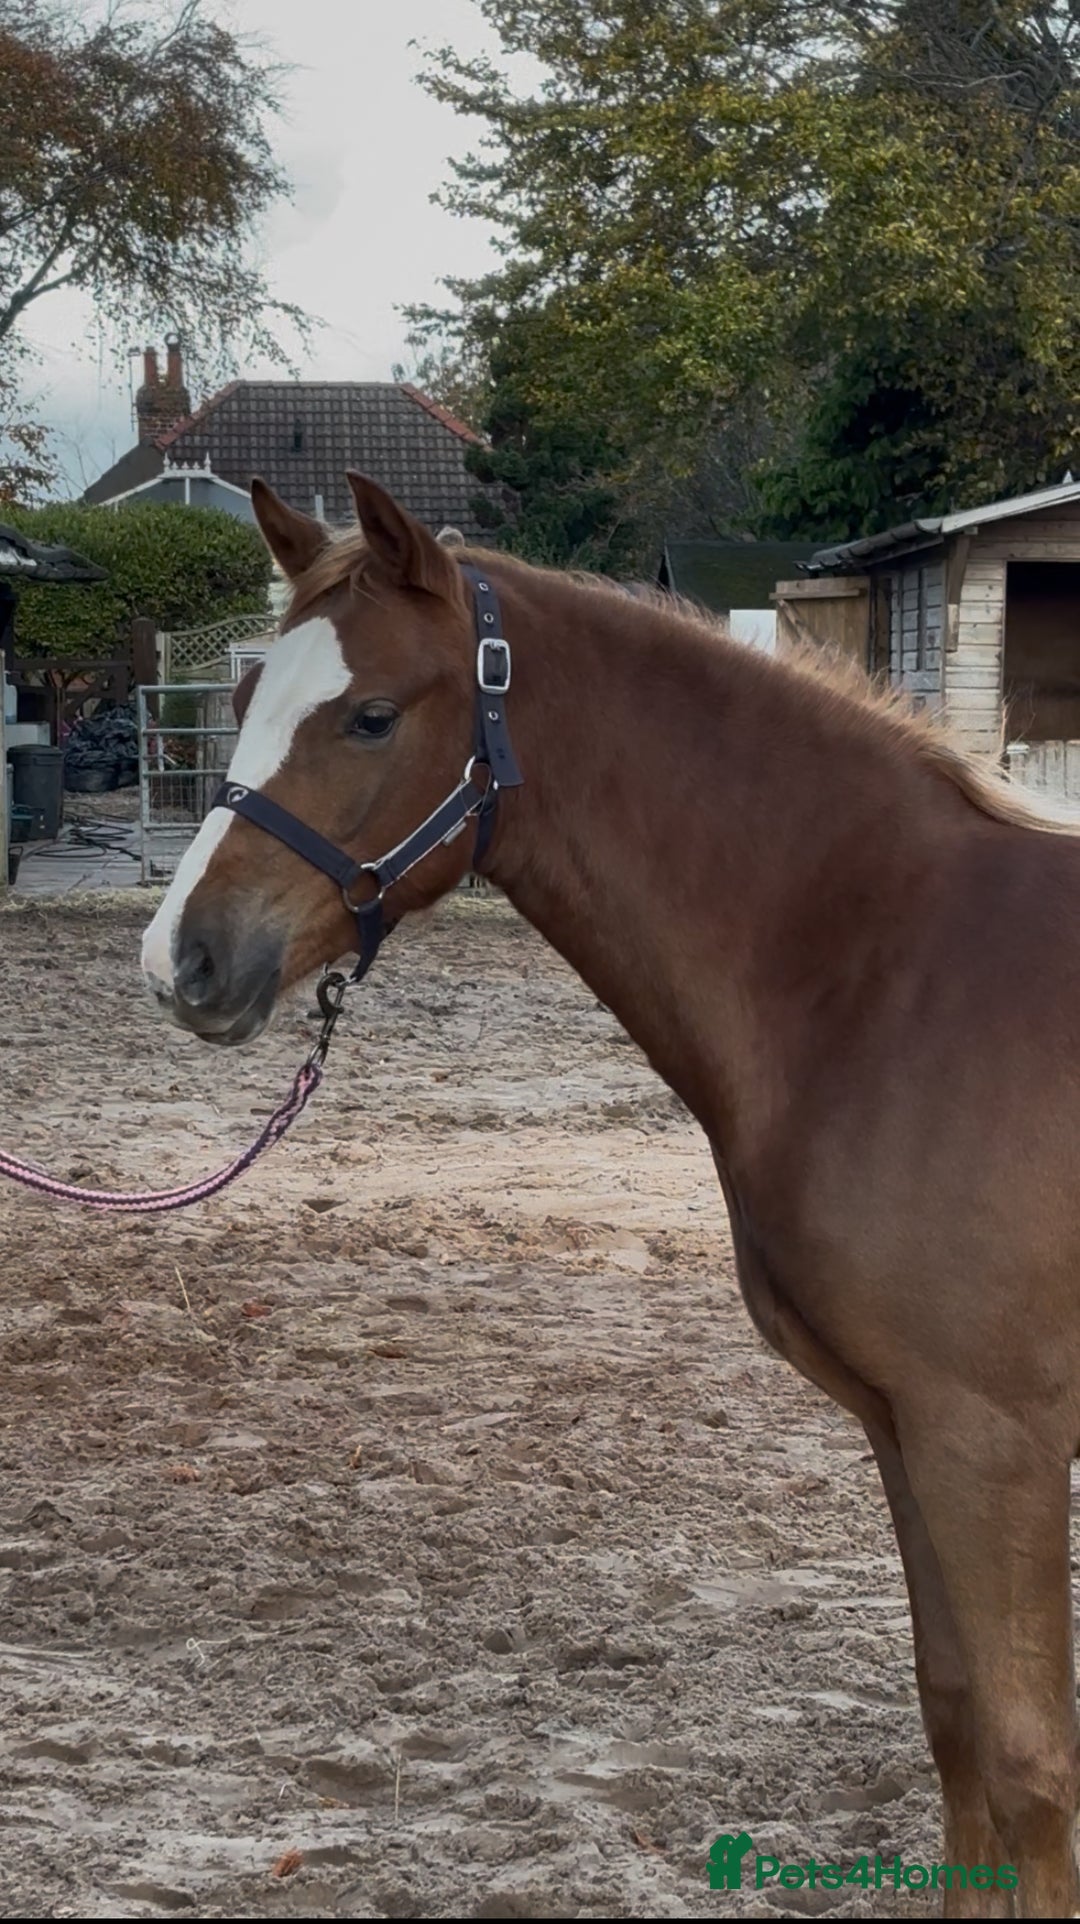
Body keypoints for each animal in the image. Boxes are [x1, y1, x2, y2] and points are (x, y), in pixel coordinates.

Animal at [142, 471, 1080, 1918]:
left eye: (370, 713)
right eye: (242, 695)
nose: (181, 958)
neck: (896, 974)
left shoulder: (996, 1441)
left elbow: (1030, 1772)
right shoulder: (906, 1431)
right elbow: (957, 1726)